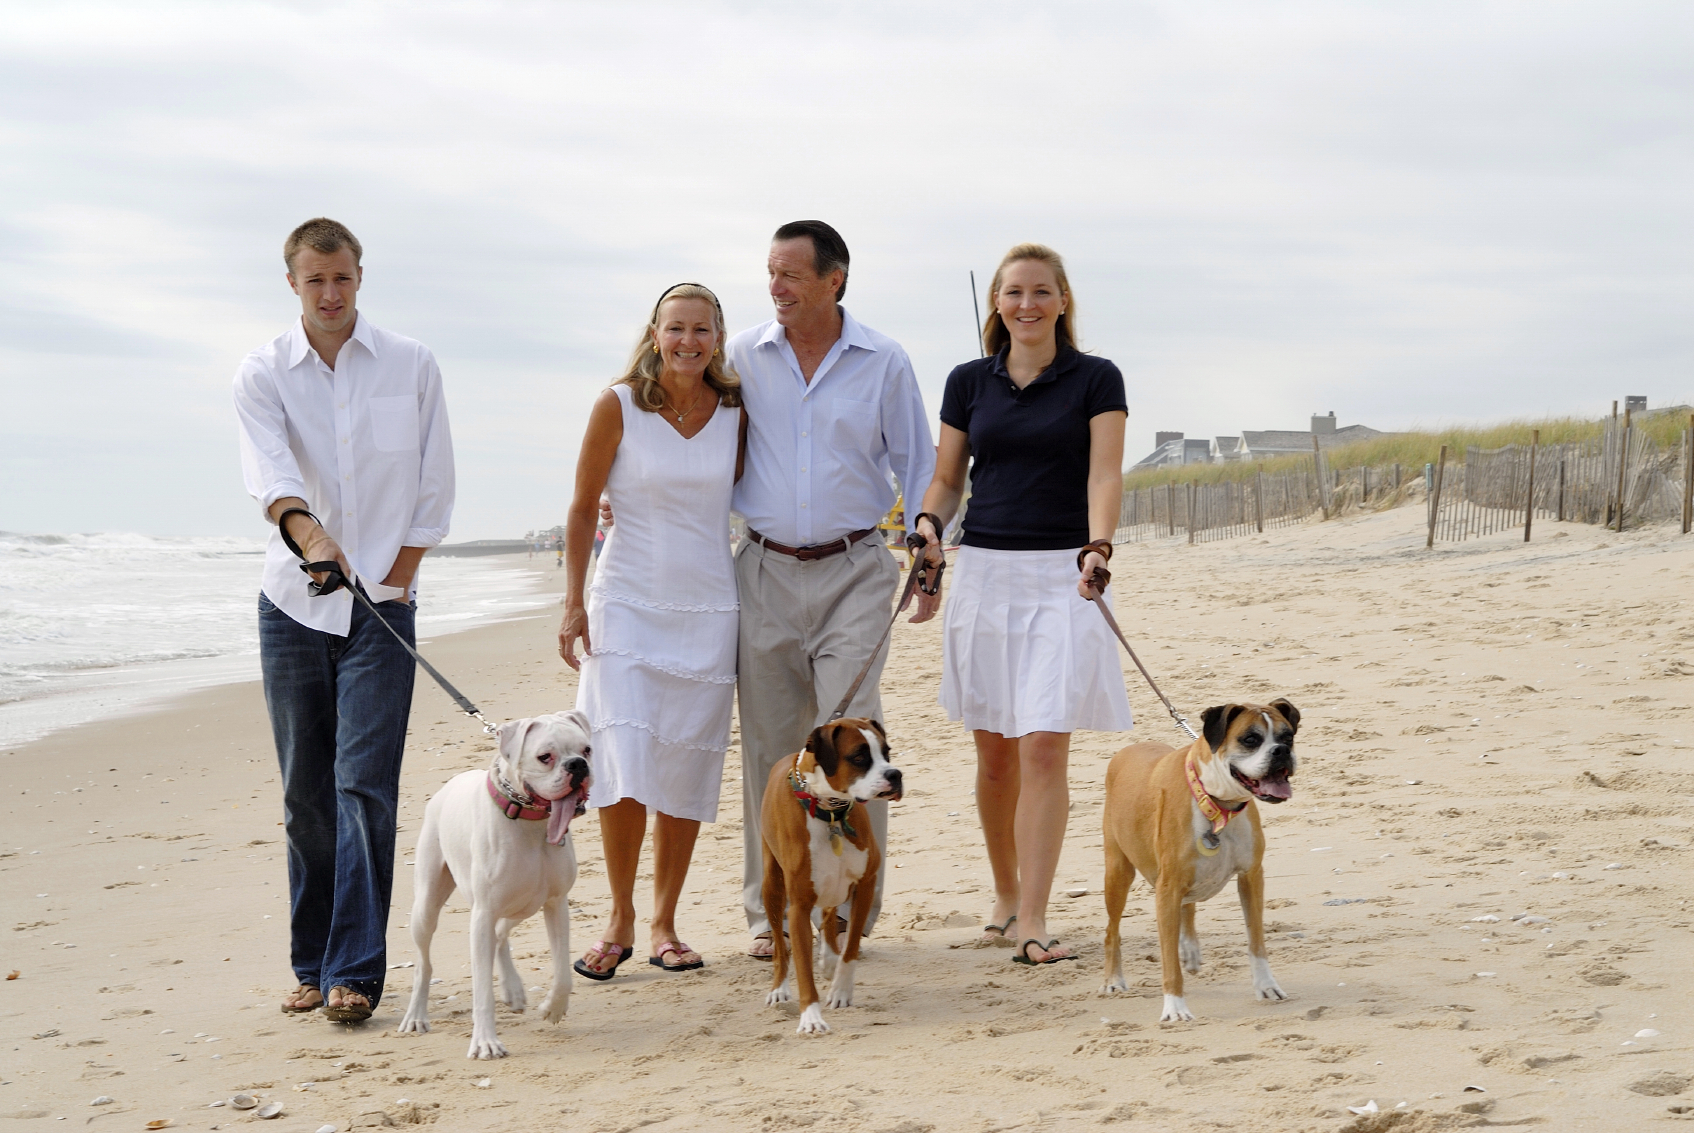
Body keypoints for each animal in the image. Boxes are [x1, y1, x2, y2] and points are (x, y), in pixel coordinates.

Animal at [394, 711, 592, 1056]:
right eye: (545, 757)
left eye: (587, 750)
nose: (578, 765)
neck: (531, 821)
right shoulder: (483, 914)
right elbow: (482, 990)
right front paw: (485, 1041)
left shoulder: (555, 904)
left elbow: (563, 972)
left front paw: (553, 1008)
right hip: (427, 908)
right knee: (423, 964)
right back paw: (416, 1015)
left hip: (524, 904)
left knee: (501, 936)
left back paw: (513, 989)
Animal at [762, 714, 907, 1036]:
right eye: (859, 757)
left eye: (887, 752)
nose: (895, 774)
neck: (829, 811)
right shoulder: (798, 907)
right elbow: (802, 967)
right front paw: (811, 1017)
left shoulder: (865, 886)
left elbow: (850, 947)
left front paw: (841, 990)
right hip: (772, 887)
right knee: (780, 947)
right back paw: (779, 989)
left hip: (835, 885)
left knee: (828, 915)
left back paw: (828, 960)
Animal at [1097, 694, 1294, 1022]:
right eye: (1250, 739)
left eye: (1288, 736)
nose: (1282, 752)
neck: (1217, 803)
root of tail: (1127, 750)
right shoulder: (1166, 890)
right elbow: (1168, 960)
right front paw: (1175, 1007)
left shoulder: (1251, 877)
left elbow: (1256, 941)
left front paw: (1266, 986)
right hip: (1118, 873)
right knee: (1112, 930)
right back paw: (1113, 979)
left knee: (1187, 906)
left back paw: (1189, 948)